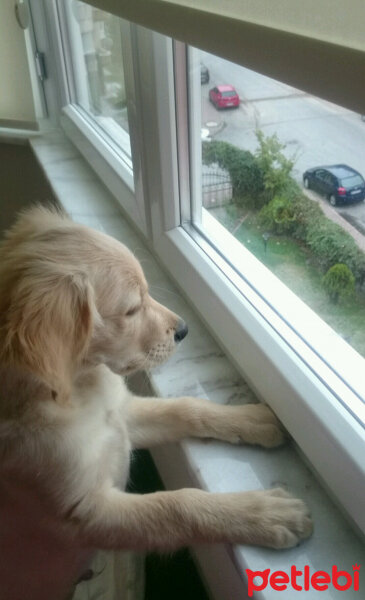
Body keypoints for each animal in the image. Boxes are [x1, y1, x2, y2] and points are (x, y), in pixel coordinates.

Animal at [0, 206, 312, 600]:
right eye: (132, 309)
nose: (183, 330)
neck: (80, 393)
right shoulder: (88, 515)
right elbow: (178, 505)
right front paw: (262, 512)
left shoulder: (122, 415)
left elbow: (186, 408)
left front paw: (250, 419)